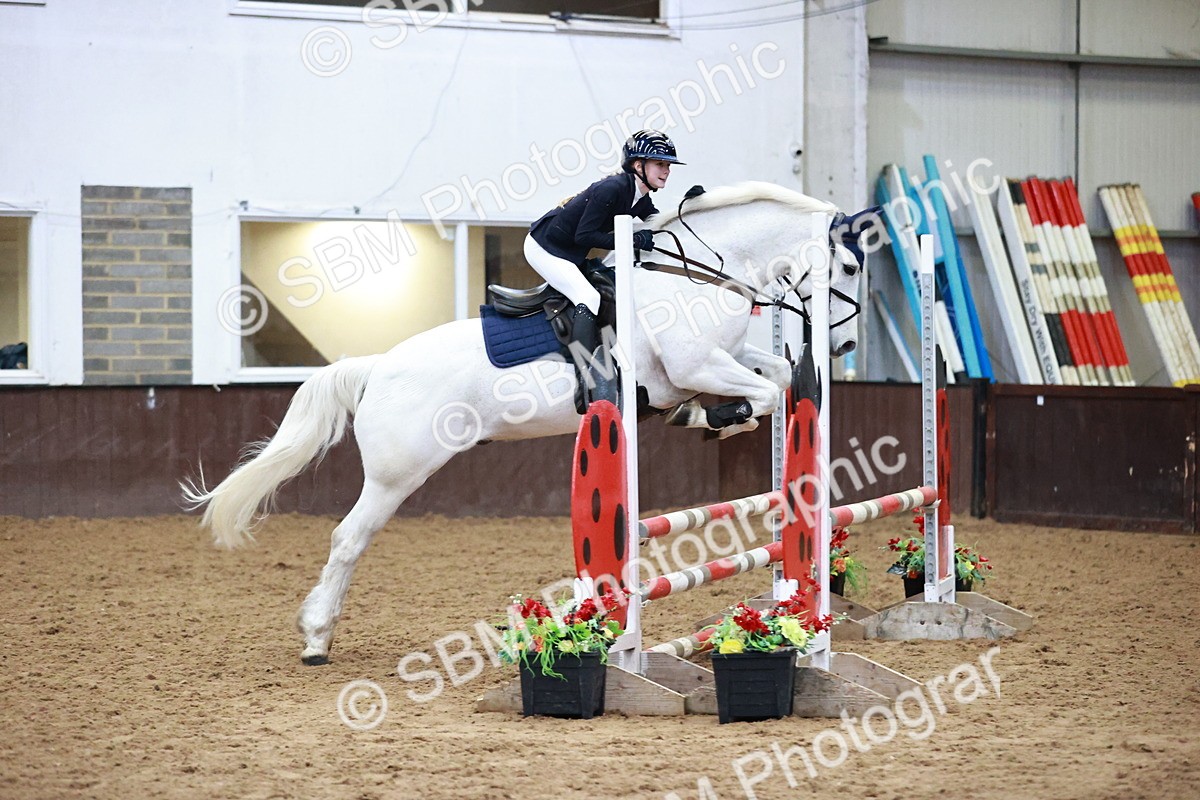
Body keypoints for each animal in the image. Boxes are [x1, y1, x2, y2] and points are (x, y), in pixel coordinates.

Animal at [183, 181, 866, 664]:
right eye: (853, 269)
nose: (845, 347)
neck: (699, 273)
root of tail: (378, 366)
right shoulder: (696, 364)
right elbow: (766, 391)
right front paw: (715, 415)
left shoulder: (717, 361)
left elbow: (774, 378)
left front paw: (711, 417)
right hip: (396, 475)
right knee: (348, 539)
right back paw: (316, 638)